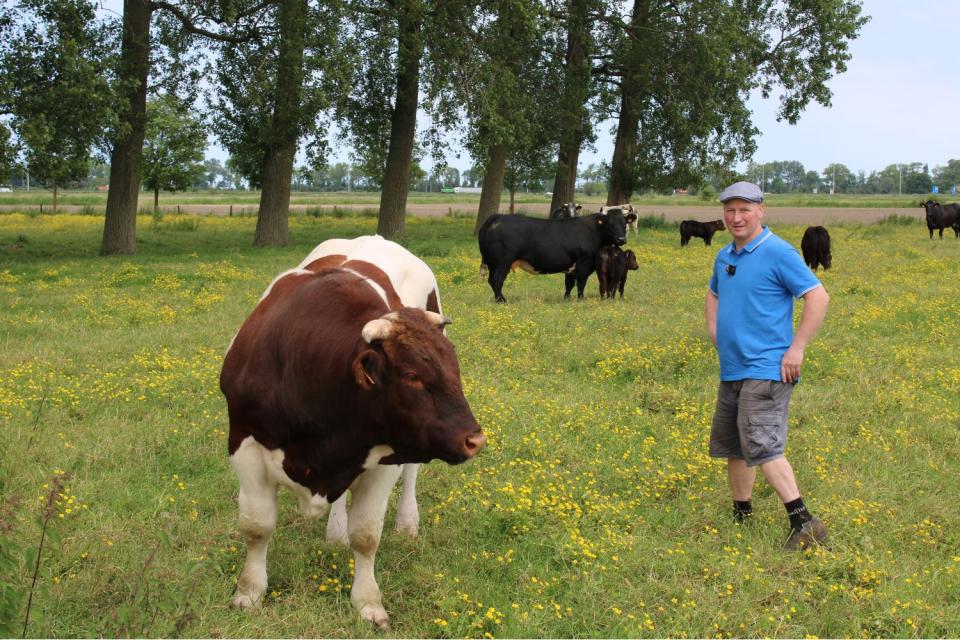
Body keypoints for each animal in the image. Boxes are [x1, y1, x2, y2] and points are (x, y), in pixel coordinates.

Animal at [221, 248, 484, 628]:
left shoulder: (386, 458)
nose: (474, 439)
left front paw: (368, 603)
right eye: (413, 376)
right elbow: (257, 526)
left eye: (455, 368)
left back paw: (407, 523)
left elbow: (366, 535)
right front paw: (249, 593)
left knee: (411, 477)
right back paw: (335, 532)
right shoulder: (246, 446)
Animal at [478, 208, 636, 302]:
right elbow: (581, 283)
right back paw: (501, 300)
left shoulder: (571, 266)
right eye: (610, 225)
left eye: (624, 224)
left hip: (491, 262)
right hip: (503, 262)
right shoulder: (583, 263)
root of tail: (499, 217)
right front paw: (581, 299)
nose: (621, 239)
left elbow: (569, 284)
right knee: (498, 279)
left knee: (491, 280)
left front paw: (566, 299)